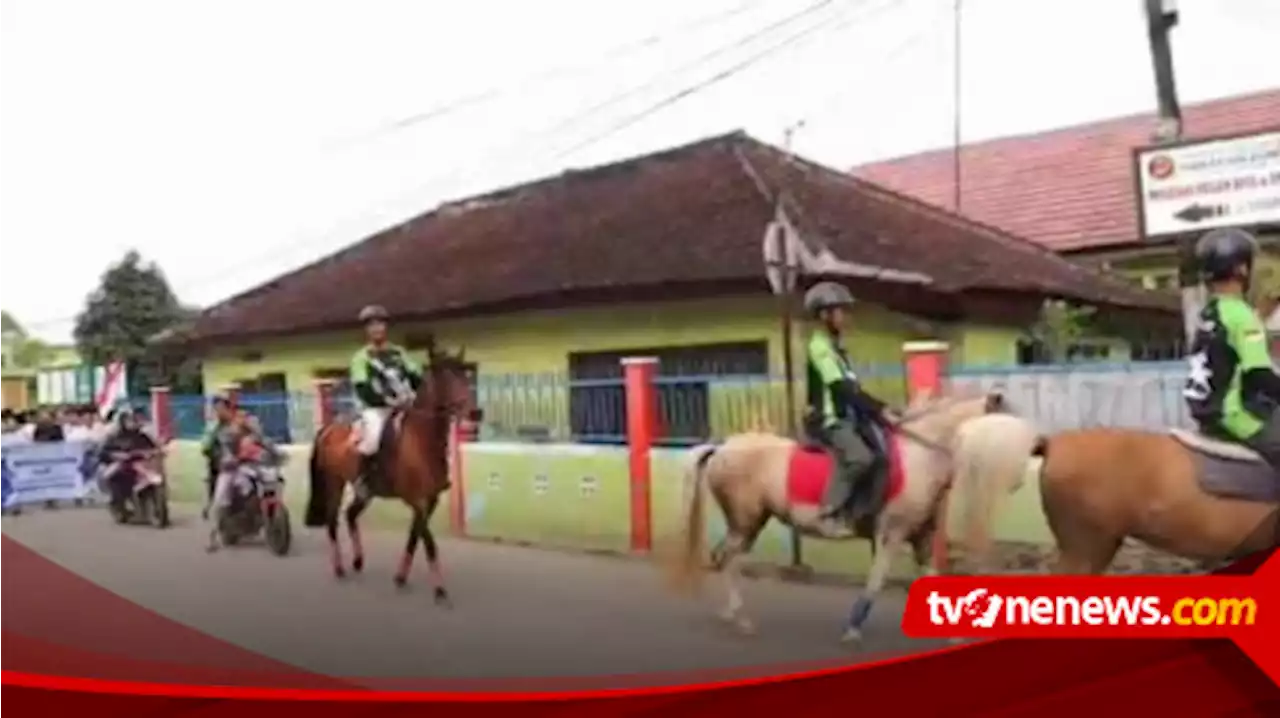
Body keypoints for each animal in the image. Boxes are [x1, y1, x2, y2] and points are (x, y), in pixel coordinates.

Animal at [300, 337, 481, 604]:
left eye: (465, 374)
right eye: (445, 377)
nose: (475, 413)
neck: (421, 440)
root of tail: (329, 428)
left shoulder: (430, 501)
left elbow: (414, 537)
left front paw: (400, 577)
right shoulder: (416, 500)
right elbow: (428, 542)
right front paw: (439, 590)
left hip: (364, 492)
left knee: (350, 515)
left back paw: (358, 560)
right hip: (334, 483)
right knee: (333, 521)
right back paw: (340, 568)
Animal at [665, 389, 1003, 639]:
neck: (919, 456)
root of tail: (722, 447)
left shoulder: (921, 537)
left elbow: (931, 580)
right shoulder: (891, 534)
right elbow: (876, 579)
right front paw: (853, 628)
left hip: (748, 522)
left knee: (723, 556)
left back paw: (730, 614)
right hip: (746, 520)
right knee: (729, 558)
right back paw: (740, 619)